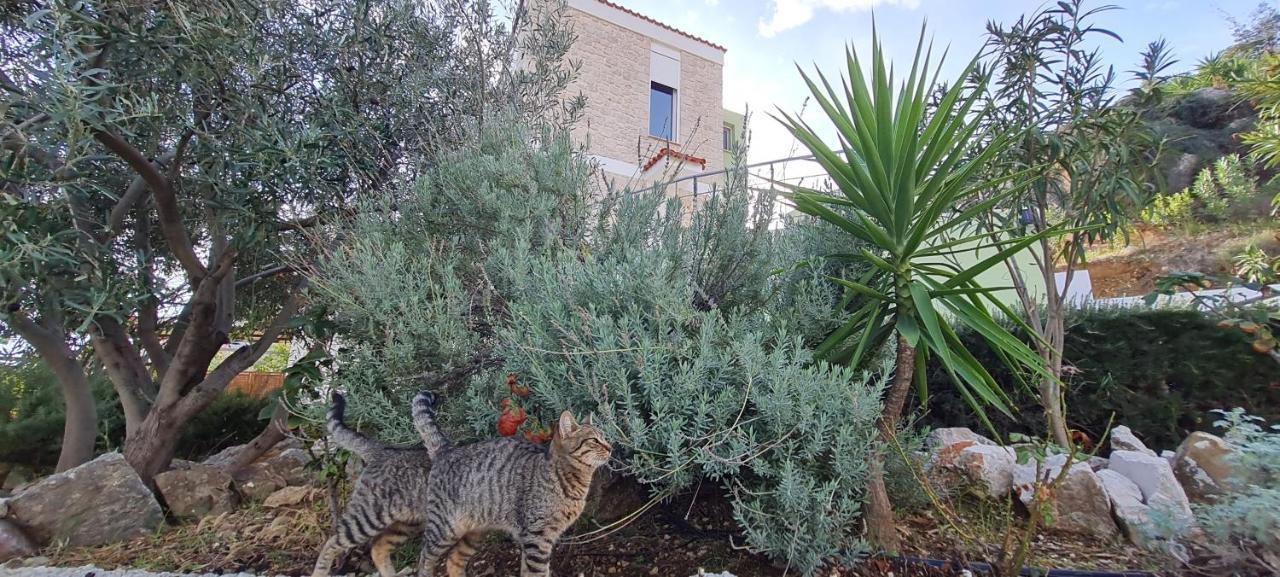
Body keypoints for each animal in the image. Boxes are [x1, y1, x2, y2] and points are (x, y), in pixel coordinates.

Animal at [409, 388, 609, 577]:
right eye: (594, 440)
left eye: (604, 437)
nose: (610, 447)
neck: (565, 477)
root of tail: (447, 450)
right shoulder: (537, 537)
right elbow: (537, 572)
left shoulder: (535, 540)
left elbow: (527, 571)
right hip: (444, 528)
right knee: (424, 557)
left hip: (475, 533)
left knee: (454, 559)